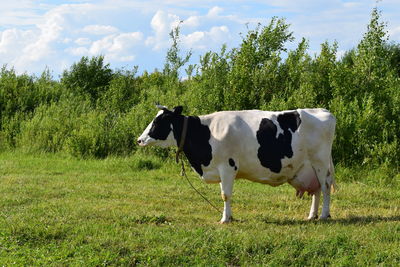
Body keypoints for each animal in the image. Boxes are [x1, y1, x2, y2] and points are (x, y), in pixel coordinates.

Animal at [136, 105, 336, 223]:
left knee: (325, 187)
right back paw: (311, 215)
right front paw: (229, 216)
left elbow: (225, 195)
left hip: (320, 161)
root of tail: (324, 111)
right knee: (316, 190)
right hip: (309, 167)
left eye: (158, 121)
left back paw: (324, 215)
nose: (139, 140)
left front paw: (225, 219)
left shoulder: (227, 167)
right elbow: (224, 194)